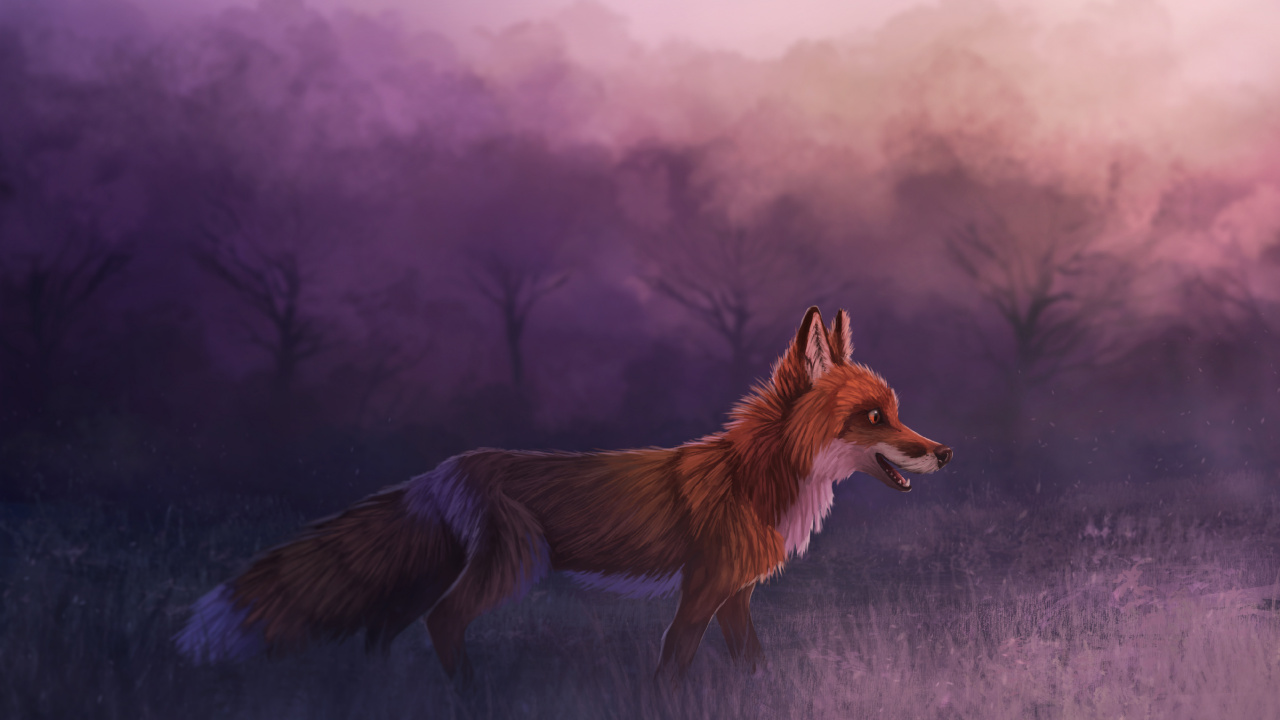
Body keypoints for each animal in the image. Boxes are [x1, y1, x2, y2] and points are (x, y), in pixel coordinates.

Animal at [176, 306, 952, 680]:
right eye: (873, 418)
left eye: (896, 411)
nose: (943, 451)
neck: (756, 475)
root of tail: (441, 470)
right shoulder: (702, 589)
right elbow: (671, 667)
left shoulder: (736, 595)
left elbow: (751, 664)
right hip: (511, 561)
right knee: (441, 622)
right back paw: (473, 697)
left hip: (437, 570)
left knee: (385, 628)